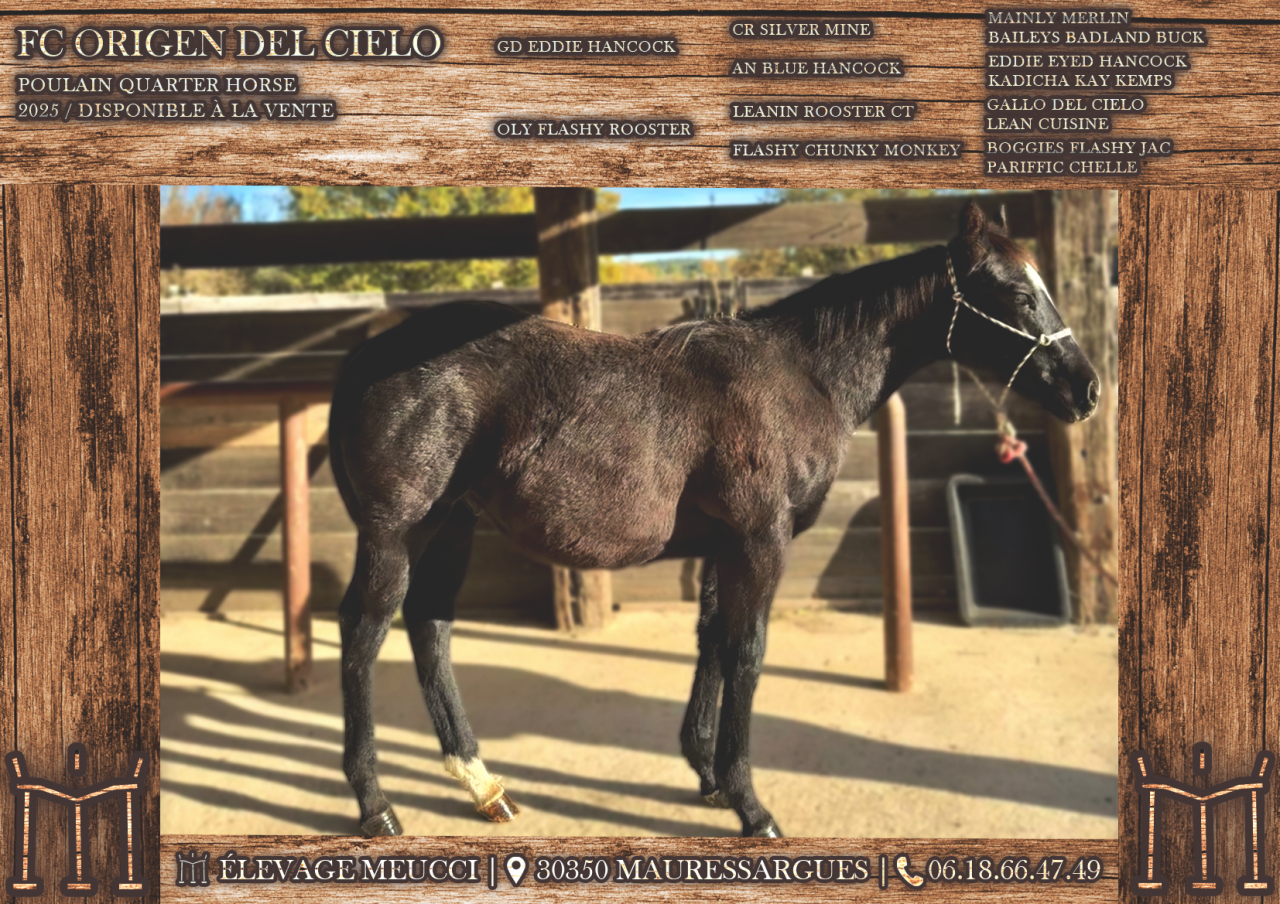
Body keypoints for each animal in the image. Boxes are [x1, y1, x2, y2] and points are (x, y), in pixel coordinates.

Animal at [327, 200, 1100, 838]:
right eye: (1017, 292)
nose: (1086, 388)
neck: (799, 377)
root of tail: (365, 354)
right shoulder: (761, 542)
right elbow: (746, 653)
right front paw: (750, 806)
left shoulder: (723, 548)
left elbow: (711, 645)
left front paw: (707, 777)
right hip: (398, 532)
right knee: (364, 633)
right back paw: (376, 805)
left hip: (452, 526)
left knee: (430, 627)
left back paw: (482, 784)